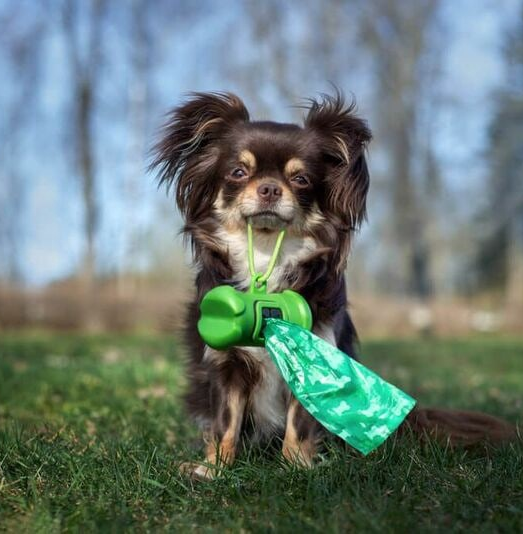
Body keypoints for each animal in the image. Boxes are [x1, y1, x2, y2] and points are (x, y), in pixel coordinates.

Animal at [150, 92, 516, 482]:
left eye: (301, 179)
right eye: (238, 172)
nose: (269, 188)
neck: (266, 254)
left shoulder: (316, 354)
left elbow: (300, 422)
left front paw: (297, 466)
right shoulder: (227, 364)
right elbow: (225, 422)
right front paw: (213, 469)